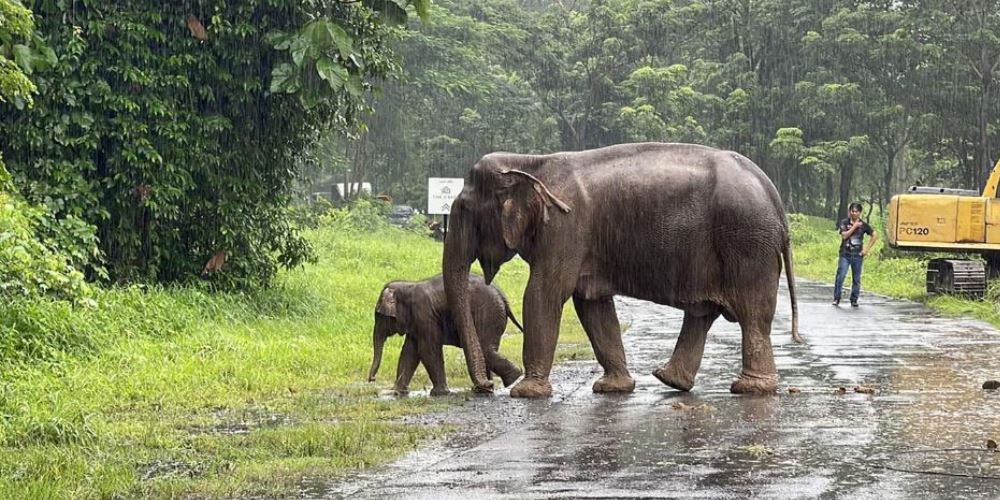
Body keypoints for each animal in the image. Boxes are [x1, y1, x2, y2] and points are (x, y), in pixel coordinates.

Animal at [367, 275, 524, 396]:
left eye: (379, 316)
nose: (372, 380)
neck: (408, 285)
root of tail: (502, 296)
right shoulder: (416, 322)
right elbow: (409, 352)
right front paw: (397, 392)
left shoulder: (424, 314)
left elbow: (427, 350)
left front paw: (439, 393)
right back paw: (485, 388)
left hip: (488, 314)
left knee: (485, 347)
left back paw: (512, 377)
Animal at [442, 142, 801, 398]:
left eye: (465, 210)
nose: (486, 387)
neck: (530, 162)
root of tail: (774, 198)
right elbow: (592, 305)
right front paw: (612, 389)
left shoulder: (565, 227)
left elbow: (545, 293)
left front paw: (526, 393)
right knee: (704, 312)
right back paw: (671, 380)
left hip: (746, 243)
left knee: (753, 313)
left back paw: (750, 389)